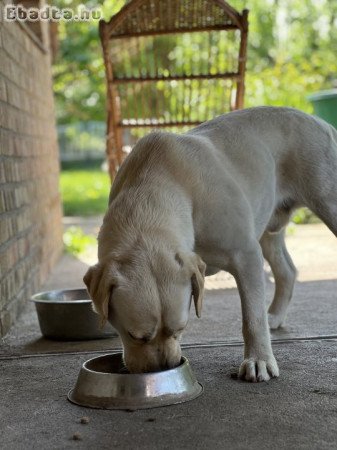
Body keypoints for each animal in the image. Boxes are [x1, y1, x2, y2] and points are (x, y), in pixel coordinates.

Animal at [83, 107, 336, 382]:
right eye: (134, 335)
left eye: (180, 328)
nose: (166, 368)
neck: (151, 195)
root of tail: (321, 122)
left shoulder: (246, 255)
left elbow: (252, 317)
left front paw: (259, 360)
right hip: (267, 223)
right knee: (287, 271)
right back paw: (275, 315)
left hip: (328, 202)